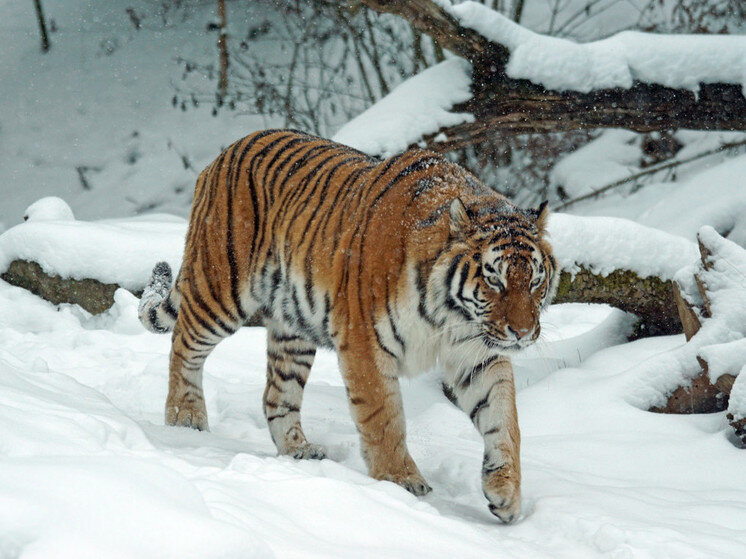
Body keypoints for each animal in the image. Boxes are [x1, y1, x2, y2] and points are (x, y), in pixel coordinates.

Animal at [140, 129, 556, 524]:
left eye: (535, 280)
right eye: (494, 280)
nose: (522, 333)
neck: (450, 316)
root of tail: (224, 153)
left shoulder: (478, 354)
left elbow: (504, 420)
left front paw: (506, 493)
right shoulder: (365, 343)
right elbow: (383, 418)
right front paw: (399, 481)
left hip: (293, 328)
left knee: (277, 394)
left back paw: (298, 450)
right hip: (220, 287)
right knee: (184, 345)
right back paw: (184, 418)